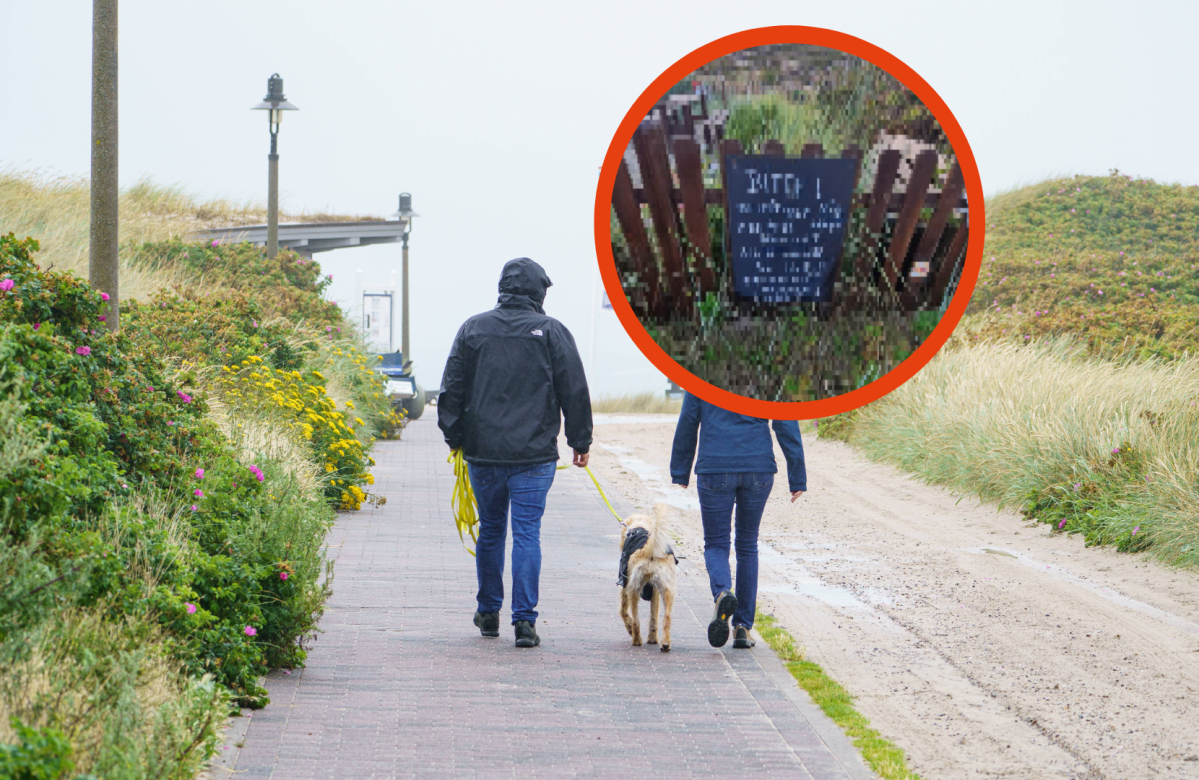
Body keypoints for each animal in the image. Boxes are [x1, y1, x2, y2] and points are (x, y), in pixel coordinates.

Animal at [623, 503, 681, 651]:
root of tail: (650, 549)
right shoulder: (655, 591)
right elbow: (654, 617)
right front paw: (652, 638)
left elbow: (623, 610)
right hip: (666, 589)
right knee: (666, 617)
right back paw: (665, 644)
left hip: (633, 589)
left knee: (636, 620)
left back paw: (636, 640)